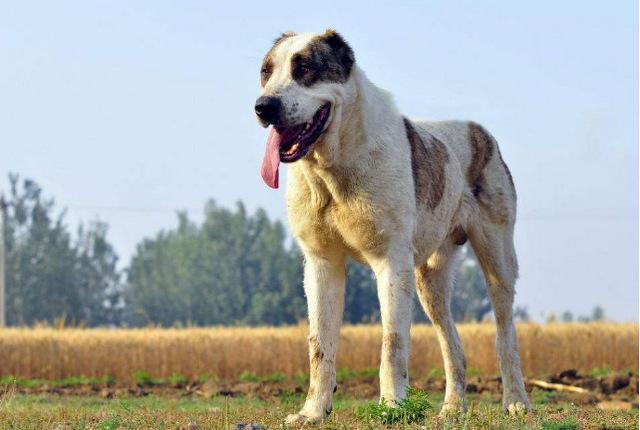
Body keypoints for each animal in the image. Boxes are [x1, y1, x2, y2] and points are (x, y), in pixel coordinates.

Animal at [255, 29, 528, 424]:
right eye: (266, 72)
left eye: (303, 68)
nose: (264, 106)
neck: (334, 168)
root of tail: (480, 131)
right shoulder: (321, 264)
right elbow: (319, 345)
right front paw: (313, 412)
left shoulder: (391, 263)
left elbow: (392, 341)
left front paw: (392, 407)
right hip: (429, 280)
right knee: (452, 343)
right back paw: (451, 409)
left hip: (497, 259)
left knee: (506, 332)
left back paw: (516, 401)